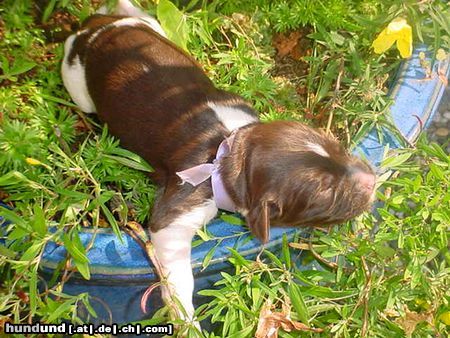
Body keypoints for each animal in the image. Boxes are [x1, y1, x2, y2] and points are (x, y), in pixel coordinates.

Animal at [60, 0, 376, 328]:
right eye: (325, 191)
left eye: (336, 146)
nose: (373, 180)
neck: (228, 148)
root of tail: (94, 29)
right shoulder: (179, 211)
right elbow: (176, 269)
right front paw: (186, 320)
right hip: (78, 86)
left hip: (149, 28)